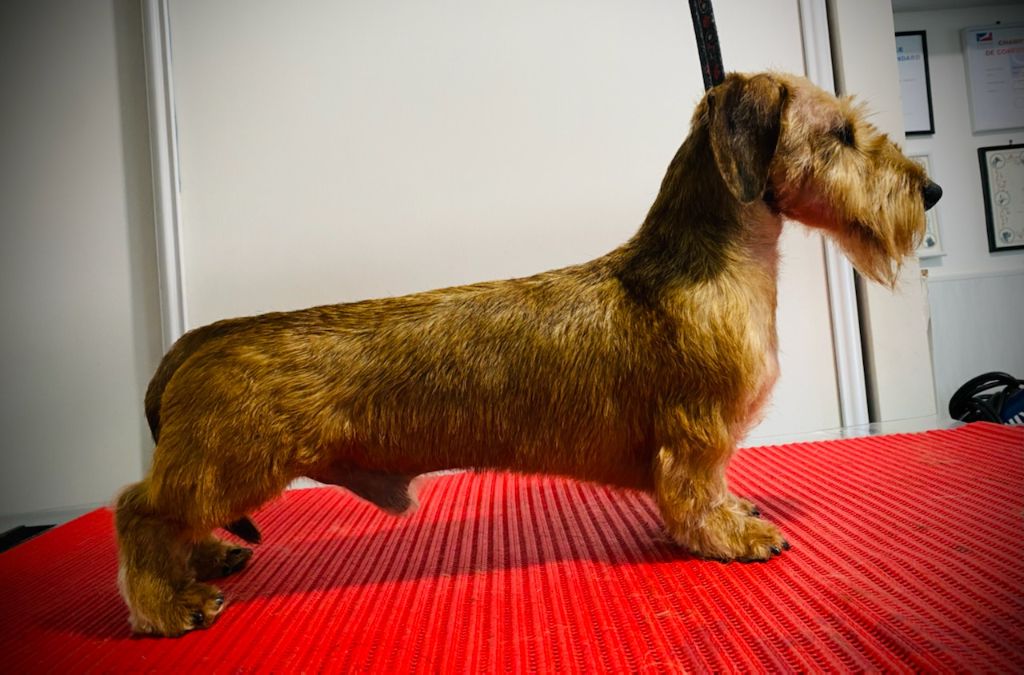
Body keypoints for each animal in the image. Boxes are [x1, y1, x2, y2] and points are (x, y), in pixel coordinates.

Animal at [115, 72, 941, 636]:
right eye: (840, 133)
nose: (929, 190)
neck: (709, 262)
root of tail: (203, 338)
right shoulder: (694, 433)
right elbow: (695, 494)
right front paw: (731, 535)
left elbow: (715, 489)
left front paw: (737, 512)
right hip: (231, 466)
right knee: (138, 511)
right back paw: (168, 602)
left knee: (168, 521)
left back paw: (205, 558)